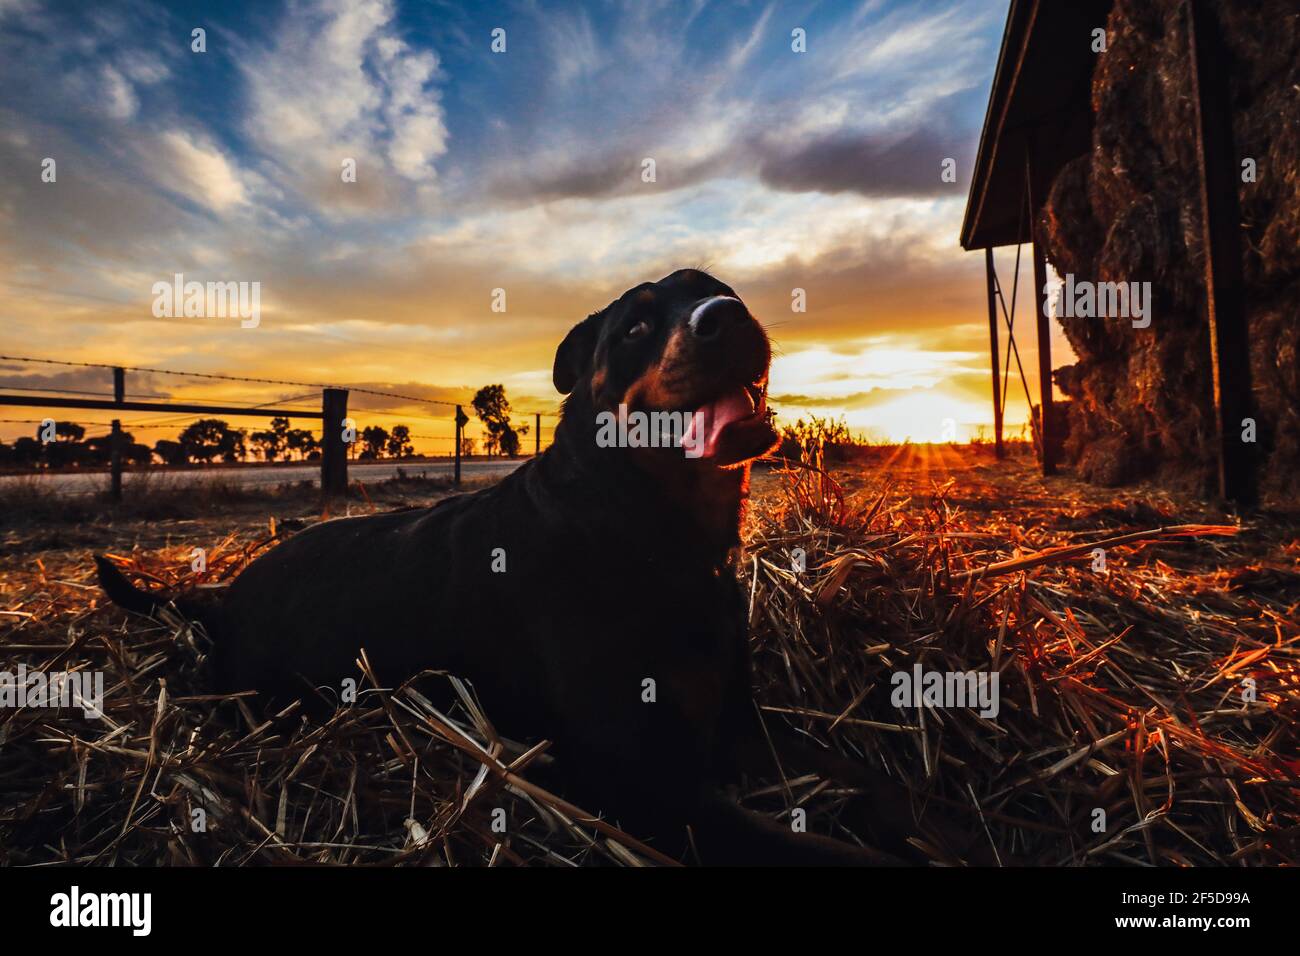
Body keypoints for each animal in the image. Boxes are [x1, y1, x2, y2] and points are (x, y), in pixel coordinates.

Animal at [98, 269, 967, 868]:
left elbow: (875, 781)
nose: (728, 316)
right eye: (636, 326)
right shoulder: (641, 782)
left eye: (721, 292)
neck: (649, 523)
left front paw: (930, 822)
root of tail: (220, 597)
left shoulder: (736, 723)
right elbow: (827, 853)